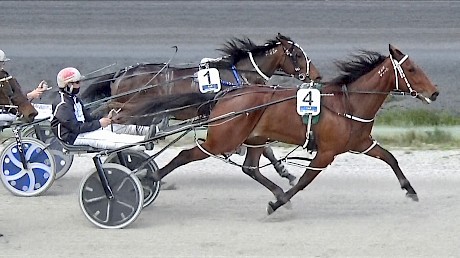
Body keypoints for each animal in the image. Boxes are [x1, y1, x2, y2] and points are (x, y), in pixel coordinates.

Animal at [81, 33, 322, 185]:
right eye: (298, 55)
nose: (317, 75)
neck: (237, 75)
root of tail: (121, 73)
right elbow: (265, 148)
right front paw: (284, 171)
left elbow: (264, 148)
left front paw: (284, 172)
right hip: (140, 111)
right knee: (115, 116)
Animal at [147, 44, 438, 214]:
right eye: (411, 69)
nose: (434, 93)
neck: (349, 102)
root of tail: (227, 94)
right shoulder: (326, 153)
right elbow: (305, 181)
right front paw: (278, 203)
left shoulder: (362, 143)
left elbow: (390, 157)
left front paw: (410, 190)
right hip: (223, 139)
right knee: (185, 155)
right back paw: (149, 177)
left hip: (255, 138)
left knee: (250, 168)